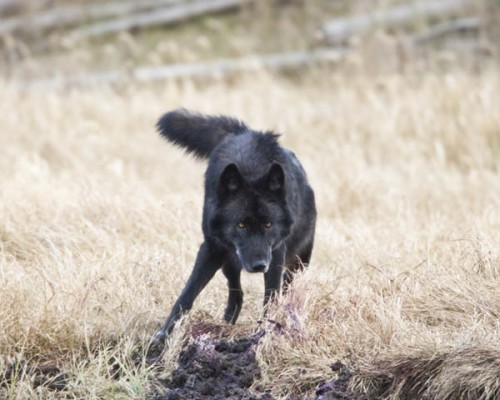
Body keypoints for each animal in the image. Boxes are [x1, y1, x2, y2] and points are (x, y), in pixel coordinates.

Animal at [154, 109, 314, 344]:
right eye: (241, 224)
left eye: (268, 224)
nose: (258, 266)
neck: (251, 168)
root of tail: (246, 131)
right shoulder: (210, 249)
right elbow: (186, 295)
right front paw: (163, 335)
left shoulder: (275, 253)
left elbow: (270, 297)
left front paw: (265, 333)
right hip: (228, 263)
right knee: (237, 294)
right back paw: (226, 323)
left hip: (299, 263)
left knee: (283, 289)